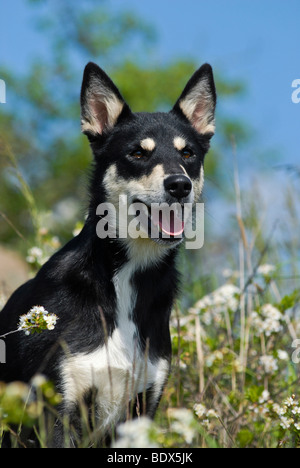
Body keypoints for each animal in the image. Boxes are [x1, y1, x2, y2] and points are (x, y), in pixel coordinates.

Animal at [0, 62, 216, 446]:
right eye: (138, 153)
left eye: (188, 153)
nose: (180, 185)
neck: (125, 276)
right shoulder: (57, 409)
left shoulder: (141, 407)